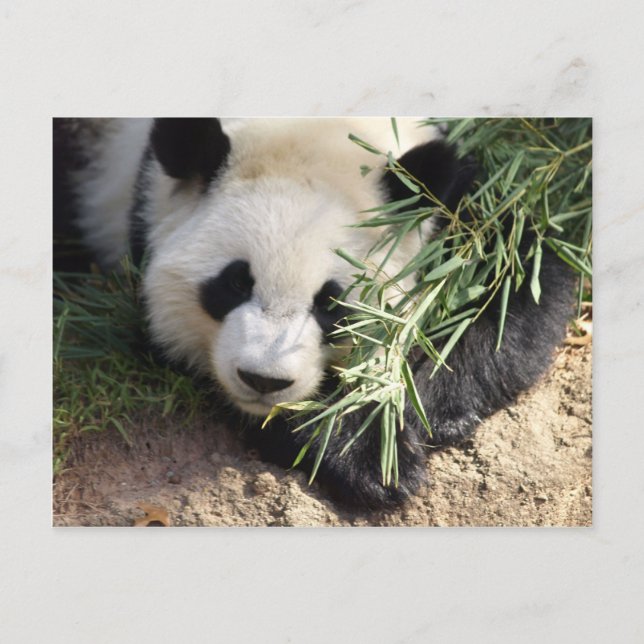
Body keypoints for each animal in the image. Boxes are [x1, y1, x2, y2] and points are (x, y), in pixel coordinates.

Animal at [53, 117, 574, 509]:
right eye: (236, 282)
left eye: (332, 302)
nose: (263, 380)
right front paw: (367, 459)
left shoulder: (458, 192)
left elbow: (517, 272)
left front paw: (423, 410)